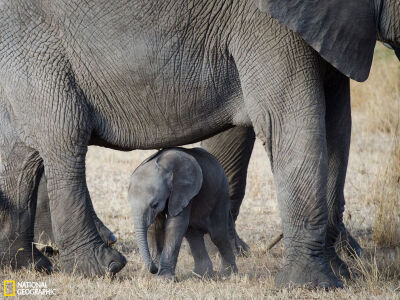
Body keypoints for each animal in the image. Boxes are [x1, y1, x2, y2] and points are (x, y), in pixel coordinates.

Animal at [129, 148, 238, 278]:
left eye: (154, 204)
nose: (154, 269)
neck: (165, 166)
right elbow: (157, 225)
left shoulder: (184, 191)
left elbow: (175, 224)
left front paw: (163, 278)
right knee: (193, 234)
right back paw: (201, 275)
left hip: (221, 193)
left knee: (218, 234)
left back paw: (227, 274)